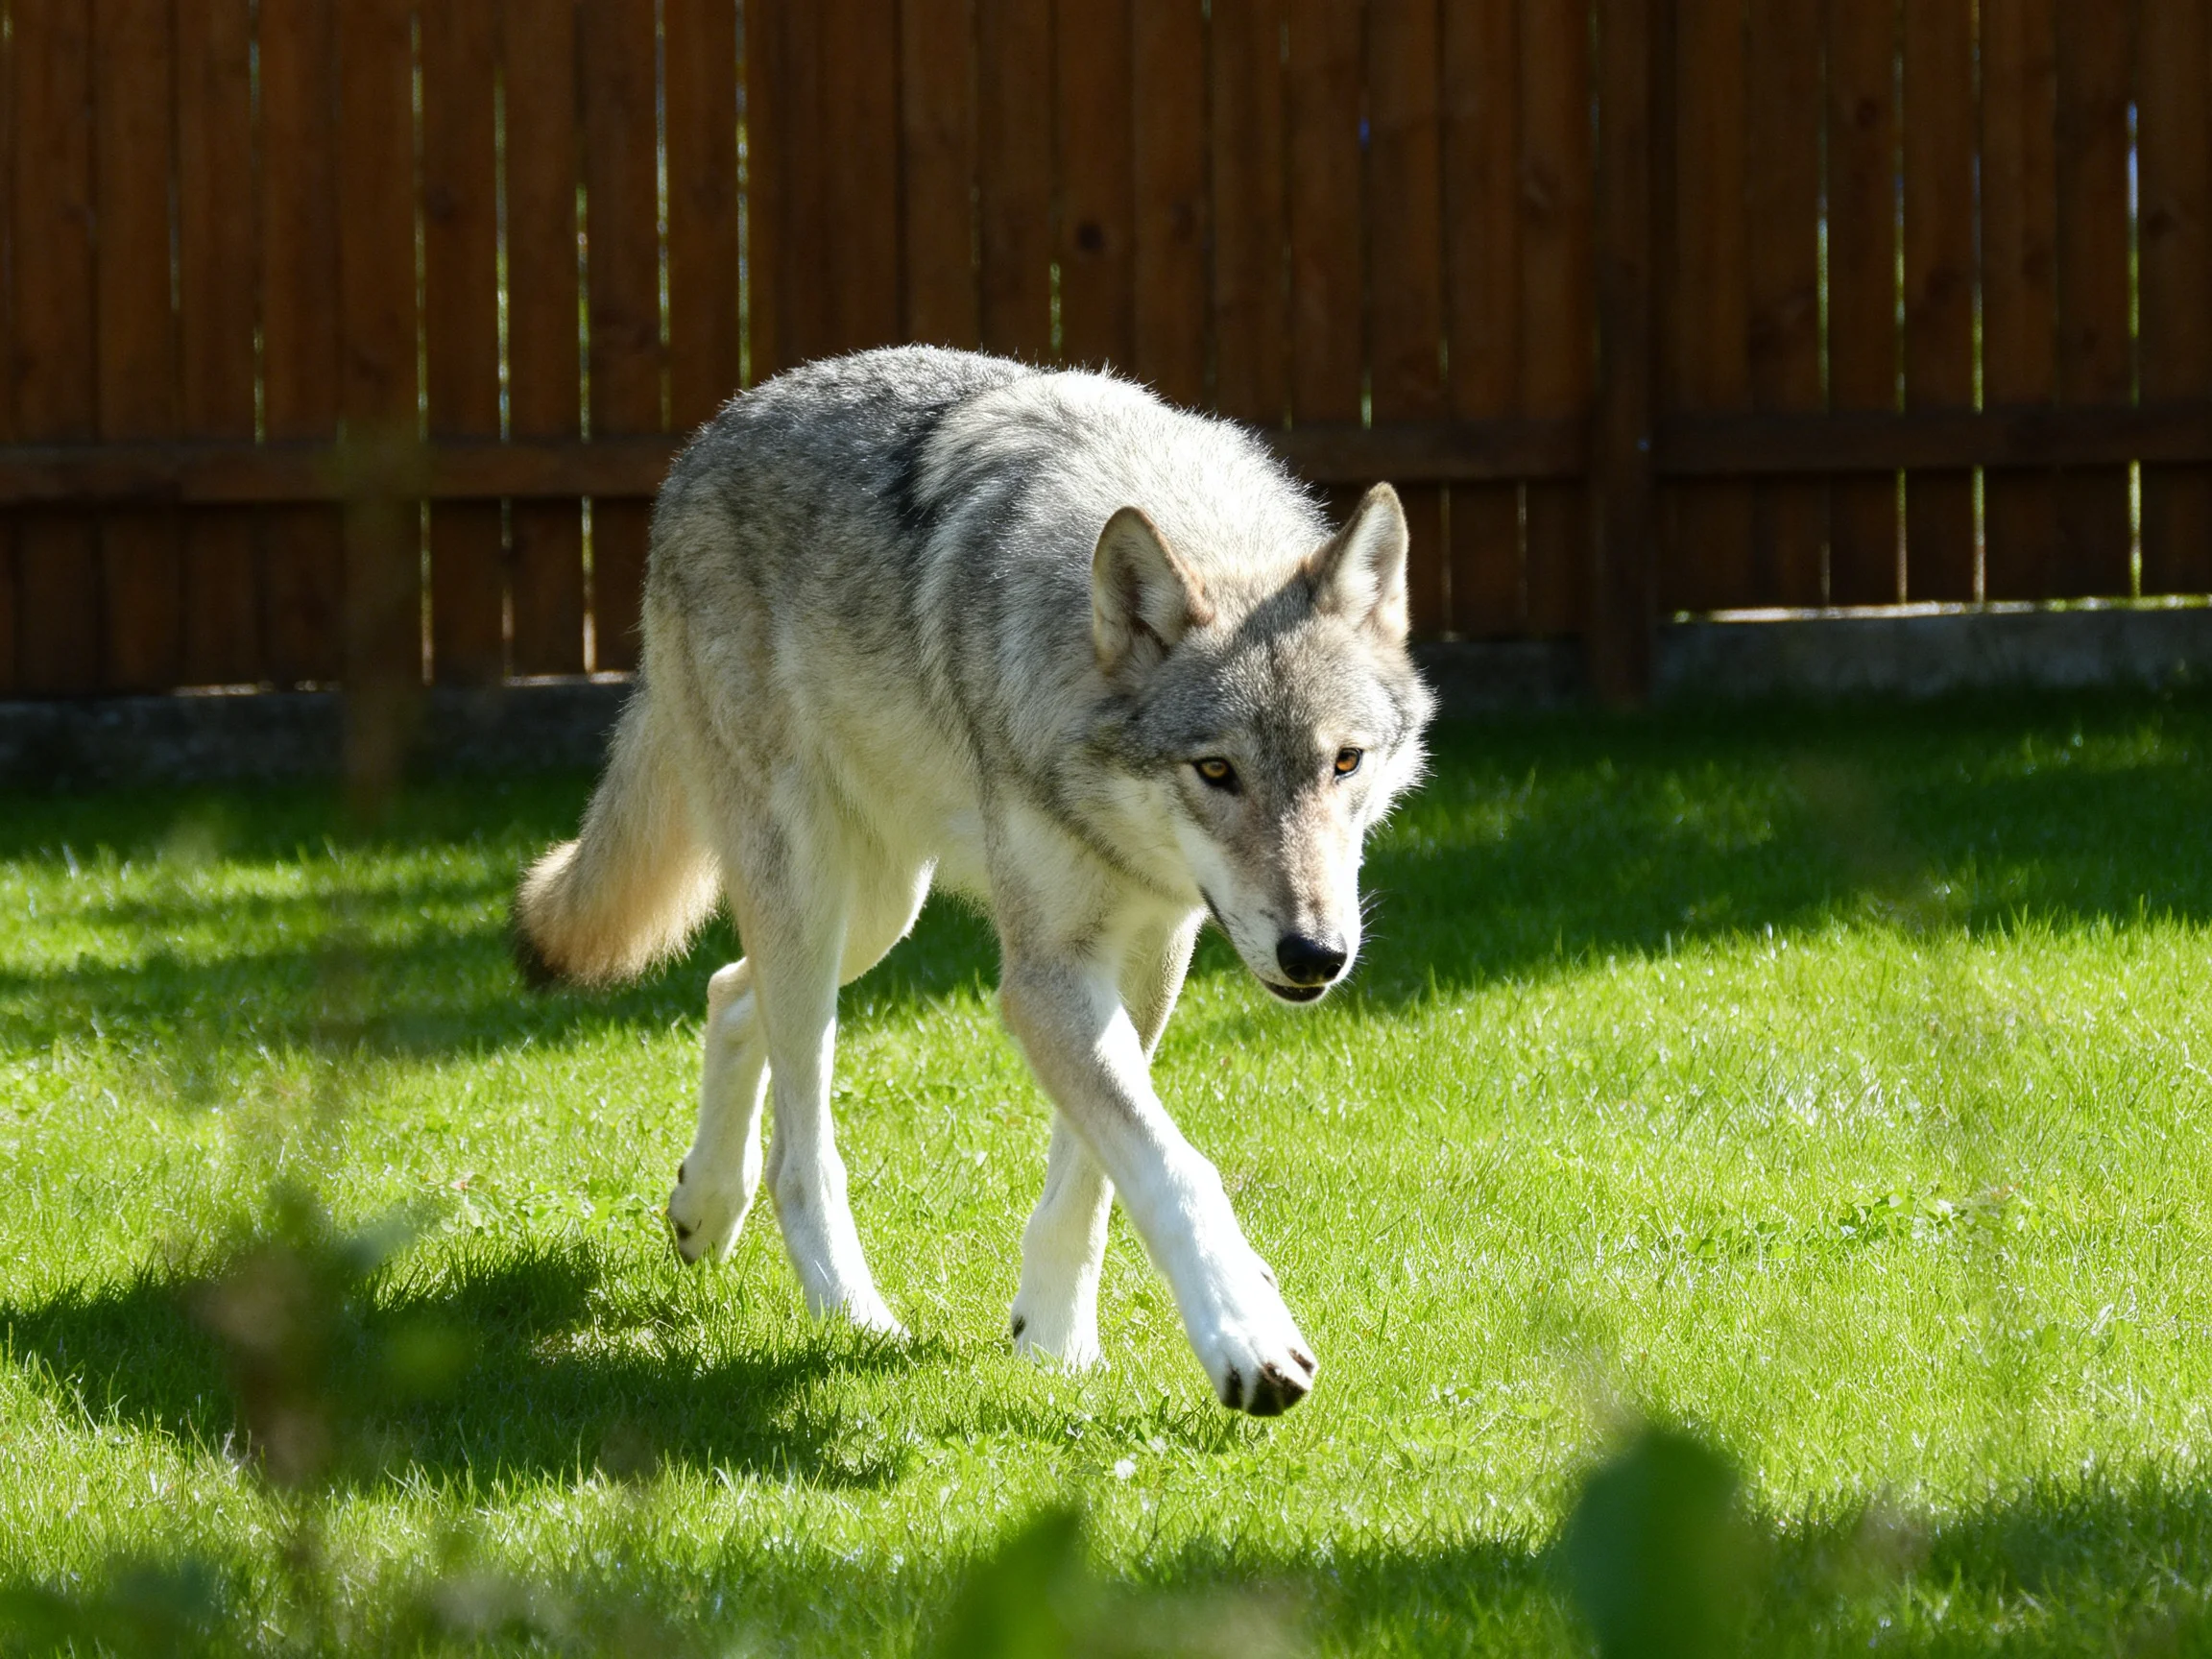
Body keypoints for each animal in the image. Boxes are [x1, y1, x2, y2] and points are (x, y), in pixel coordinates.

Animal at [514, 347, 1433, 1415]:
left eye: (1344, 763)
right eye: (1216, 772)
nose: (1314, 953)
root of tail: (715, 431)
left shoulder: (1146, 952)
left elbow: (1095, 1172)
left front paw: (1054, 1341)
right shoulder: (1044, 974)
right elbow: (1172, 1165)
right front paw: (1247, 1337)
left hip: (874, 912)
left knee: (728, 993)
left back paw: (703, 1209)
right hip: (814, 894)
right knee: (799, 1144)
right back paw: (849, 1312)